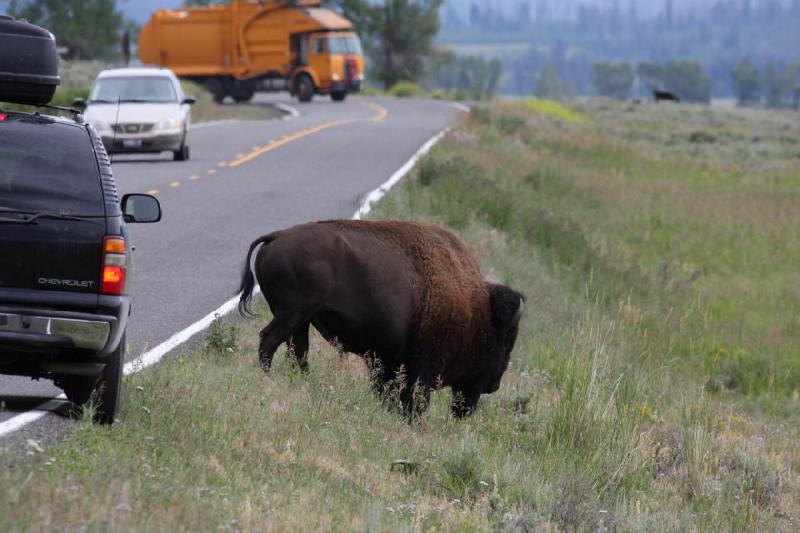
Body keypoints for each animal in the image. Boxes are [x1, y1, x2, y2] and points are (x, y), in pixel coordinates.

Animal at [238, 219, 524, 416]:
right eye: (505, 342)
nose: (494, 384)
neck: (475, 308)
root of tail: (277, 236)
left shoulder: (388, 360)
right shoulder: (422, 364)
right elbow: (415, 397)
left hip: (300, 319)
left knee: (297, 352)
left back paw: (302, 385)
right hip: (293, 313)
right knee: (269, 340)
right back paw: (268, 379)